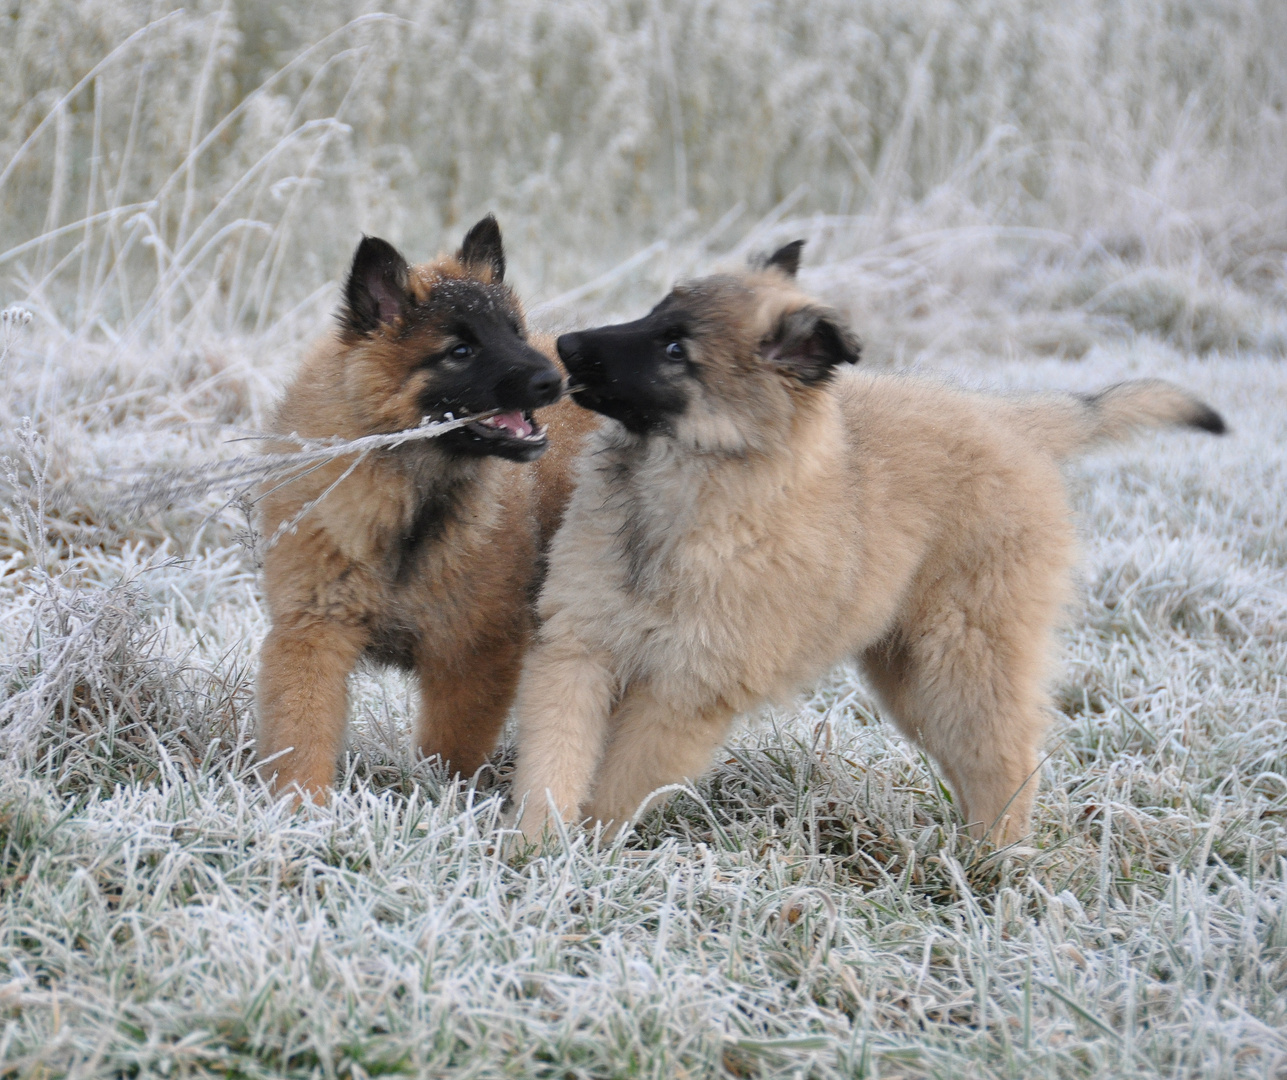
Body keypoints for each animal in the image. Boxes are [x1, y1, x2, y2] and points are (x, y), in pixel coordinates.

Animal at [257, 214, 597, 798]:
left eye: (515, 332)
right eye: (460, 351)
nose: (558, 380)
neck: (412, 500)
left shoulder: (473, 656)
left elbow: (450, 755)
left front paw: (442, 803)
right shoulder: (312, 633)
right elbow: (300, 736)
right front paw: (297, 810)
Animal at [507, 240, 1220, 849]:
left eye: (677, 348)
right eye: (654, 313)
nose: (564, 344)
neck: (684, 488)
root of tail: (1011, 419)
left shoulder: (687, 692)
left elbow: (619, 780)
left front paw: (590, 849)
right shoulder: (578, 647)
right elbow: (556, 755)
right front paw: (538, 849)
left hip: (965, 656)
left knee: (1006, 754)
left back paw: (994, 864)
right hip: (911, 674)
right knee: (974, 759)